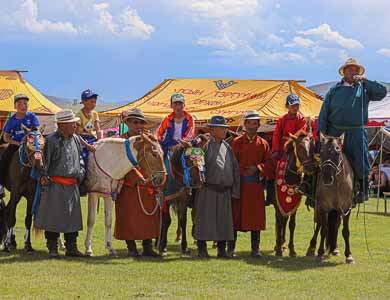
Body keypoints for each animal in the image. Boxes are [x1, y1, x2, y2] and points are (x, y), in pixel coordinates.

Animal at [316, 132, 354, 264]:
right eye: (321, 152)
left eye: (337, 152)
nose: (327, 178)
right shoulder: (324, 207)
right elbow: (324, 230)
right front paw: (320, 253)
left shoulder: (347, 208)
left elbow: (346, 231)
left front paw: (349, 255)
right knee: (319, 225)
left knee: (336, 225)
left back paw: (336, 249)